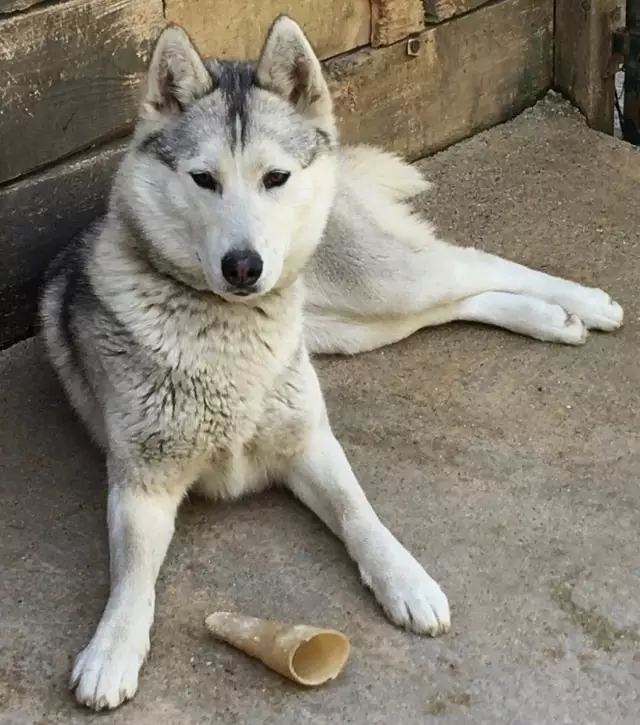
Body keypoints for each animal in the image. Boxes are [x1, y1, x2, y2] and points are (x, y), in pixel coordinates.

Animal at [38, 15, 620, 708]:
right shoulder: (142, 482)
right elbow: (131, 575)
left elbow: (357, 513)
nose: (244, 267)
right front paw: (114, 648)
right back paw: (550, 319)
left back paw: (585, 302)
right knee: (456, 302)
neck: (229, 331)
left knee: (472, 263)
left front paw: (405, 578)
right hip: (350, 326)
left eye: (275, 178)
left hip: (379, 287)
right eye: (204, 179)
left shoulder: (310, 442)